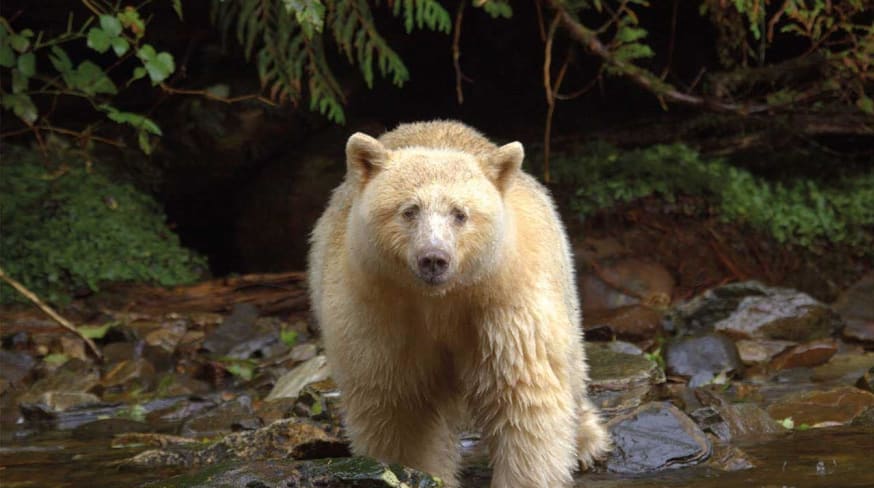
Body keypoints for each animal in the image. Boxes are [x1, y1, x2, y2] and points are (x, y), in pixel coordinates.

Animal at [308, 120, 610, 488]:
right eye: (409, 210)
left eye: (460, 214)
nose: (434, 258)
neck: (441, 300)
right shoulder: (378, 312)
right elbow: (400, 410)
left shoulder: (503, 306)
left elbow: (523, 397)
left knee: (572, 367)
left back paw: (587, 441)